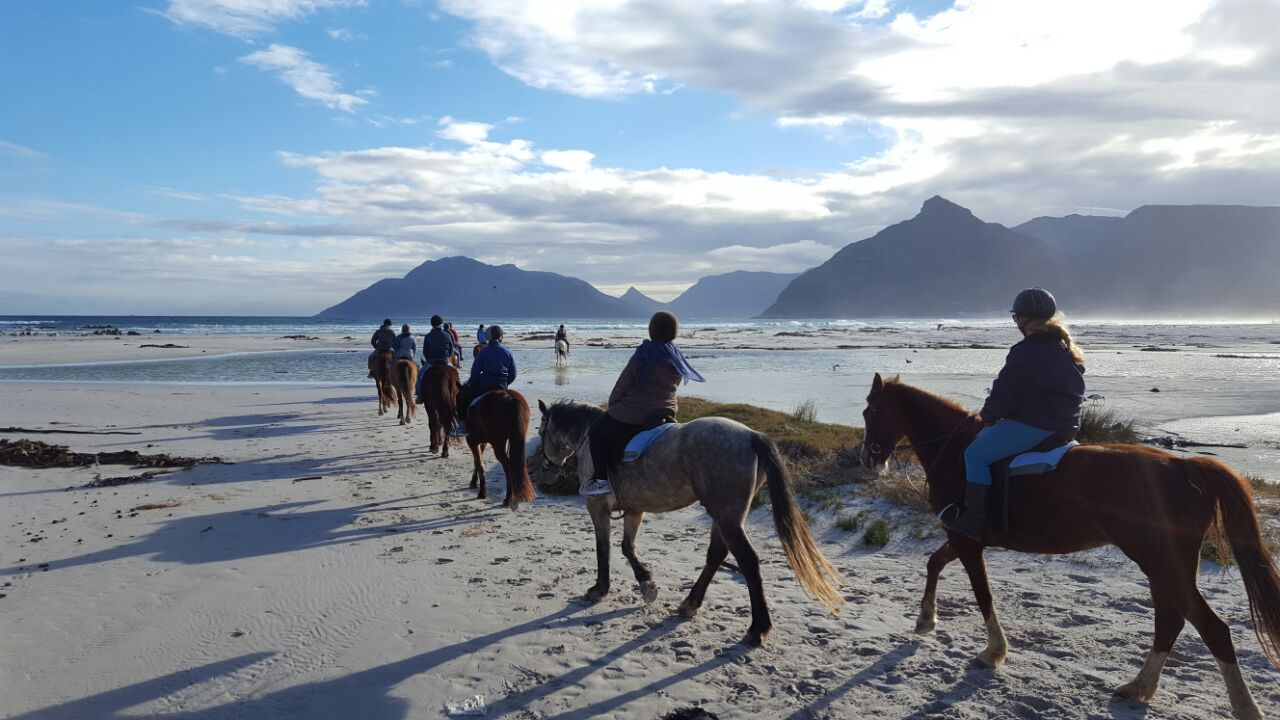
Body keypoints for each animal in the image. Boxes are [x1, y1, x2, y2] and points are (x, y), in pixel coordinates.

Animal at [537, 399, 844, 646]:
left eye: (541, 432)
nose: (546, 471)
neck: (589, 436)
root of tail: (751, 435)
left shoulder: (597, 507)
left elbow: (604, 549)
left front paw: (600, 589)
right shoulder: (634, 509)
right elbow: (626, 547)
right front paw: (646, 583)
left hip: (726, 515)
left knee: (747, 561)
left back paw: (757, 628)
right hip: (725, 515)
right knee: (716, 555)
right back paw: (690, 603)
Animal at [858, 373, 1280, 719]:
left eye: (868, 411)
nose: (867, 459)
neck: (956, 450)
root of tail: (1183, 467)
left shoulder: (966, 539)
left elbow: (982, 595)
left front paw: (994, 651)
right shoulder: (961, 537)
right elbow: (934, 563)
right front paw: (926, 619)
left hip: (1162, 563)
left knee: (1210, 628)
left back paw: (1244, 707)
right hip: (1166, 565)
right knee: (1171, 621)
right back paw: (1139, 688)